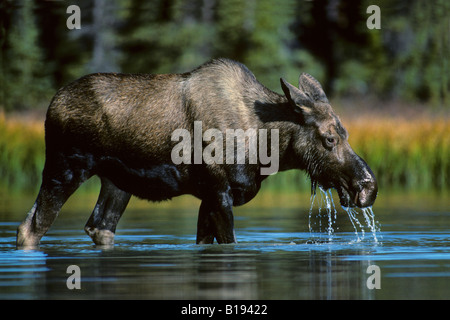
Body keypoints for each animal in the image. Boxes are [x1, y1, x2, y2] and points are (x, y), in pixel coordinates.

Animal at [16, 58, 376, 246]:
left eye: (345, 133)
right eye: (329, 138)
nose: (367, 187)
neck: (266, 147)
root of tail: (51, 106)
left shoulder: (209, 196)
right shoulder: (219, 192)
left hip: (115, 182)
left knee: (99, 226)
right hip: (64, 168)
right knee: (29, 228)